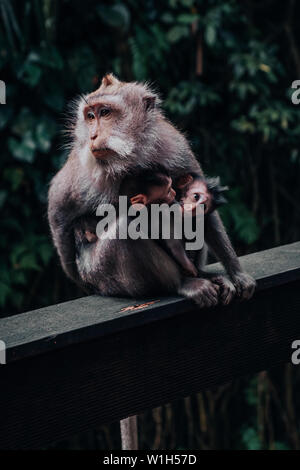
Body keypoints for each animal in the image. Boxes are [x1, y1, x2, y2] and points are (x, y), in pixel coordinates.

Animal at [47, 72, 255, 448]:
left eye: (105, 112)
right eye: (89, 116)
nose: (94, 134)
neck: (132, 155)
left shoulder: (173, 146)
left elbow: (203, 205)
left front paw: (237, 272)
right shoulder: (84, 164)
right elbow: (58, 209)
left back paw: (204, 272)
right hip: (107, 275)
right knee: (129, 225)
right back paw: (183, 284)